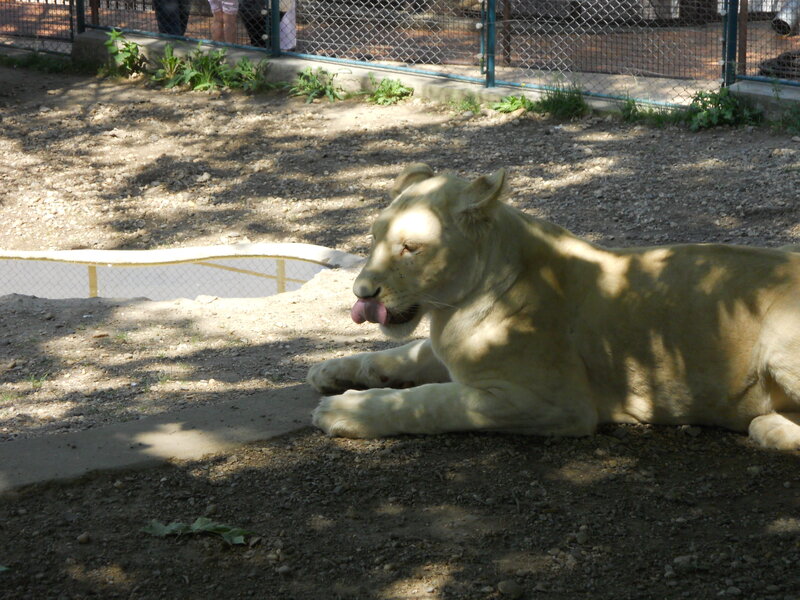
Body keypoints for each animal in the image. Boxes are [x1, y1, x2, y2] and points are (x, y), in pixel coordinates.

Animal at [308, 163, 800, 450]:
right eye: (374, 238)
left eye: (410, 248)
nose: (361, 293)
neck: (452, 308)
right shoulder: (449, 350)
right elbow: (402, 353)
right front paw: (331, 370)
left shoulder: (551, 401)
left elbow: (430, 402)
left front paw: (344, 411)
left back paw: (768, 428)